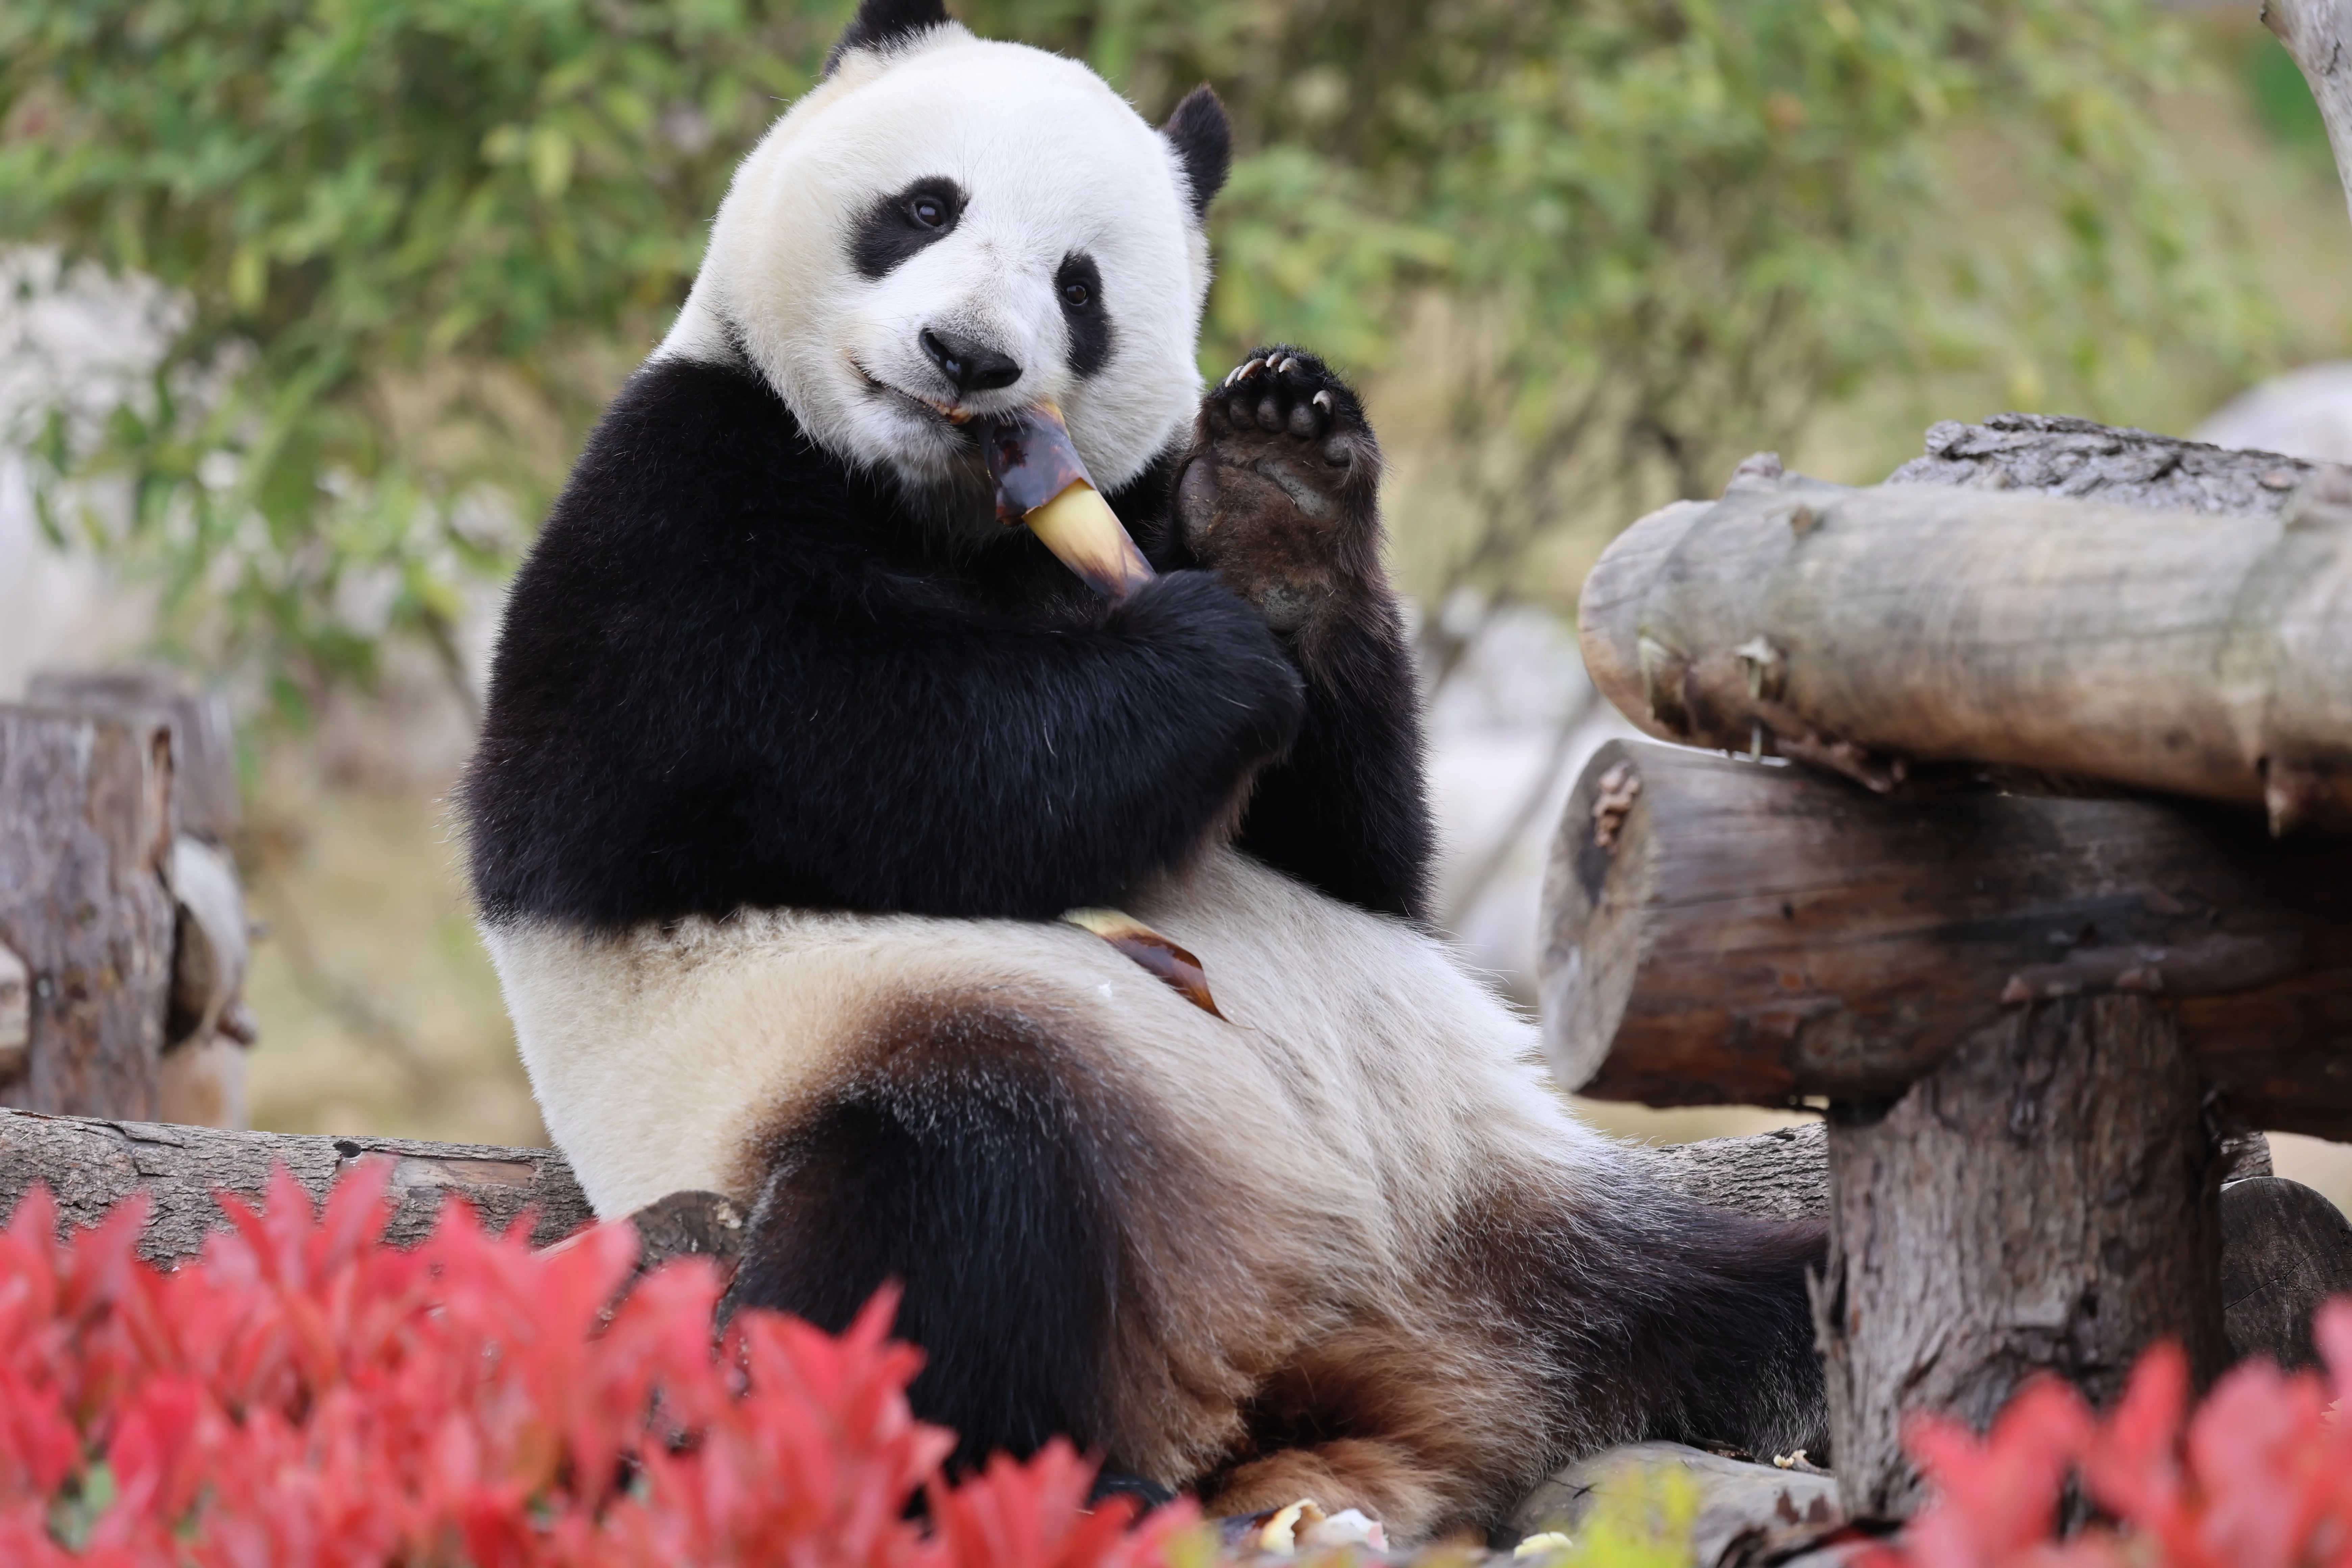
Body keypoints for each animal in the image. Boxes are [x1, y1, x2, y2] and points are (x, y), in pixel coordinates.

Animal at [462, 0, 1827, 1543]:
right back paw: (1048, 1482)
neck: (938, 504)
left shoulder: (1130, 502)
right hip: (894, 1064)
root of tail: (1332, 1360)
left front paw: (1282, 501)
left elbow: (1360, 852)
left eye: (1079, 284)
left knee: (1728, 1280)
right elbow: (840, 747)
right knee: (930, 1231)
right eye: (923, 207)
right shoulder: (665, 514)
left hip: (1502, 1197)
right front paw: (1204, 658)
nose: (966, 355)